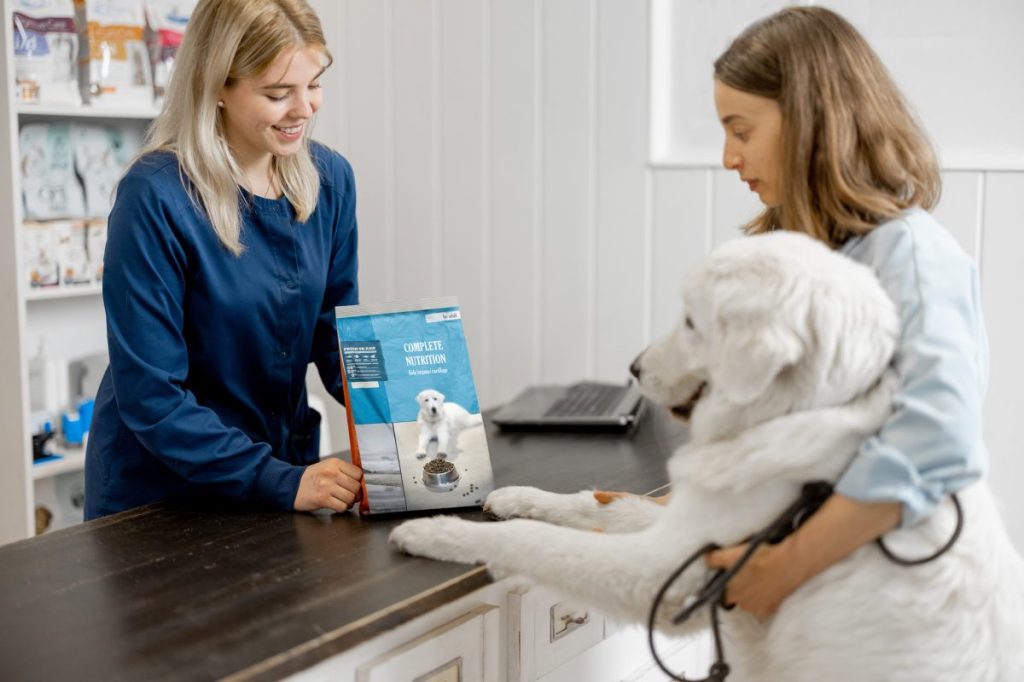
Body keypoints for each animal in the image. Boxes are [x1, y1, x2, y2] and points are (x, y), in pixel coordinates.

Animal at [395, 231, 1024, 675]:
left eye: (693, 321)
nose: (633, 368)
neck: (799, 413)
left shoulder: (666, 575)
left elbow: (536, 543)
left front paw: (435, 531)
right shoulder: (683, 527)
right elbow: (593, 503)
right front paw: (513, 496)